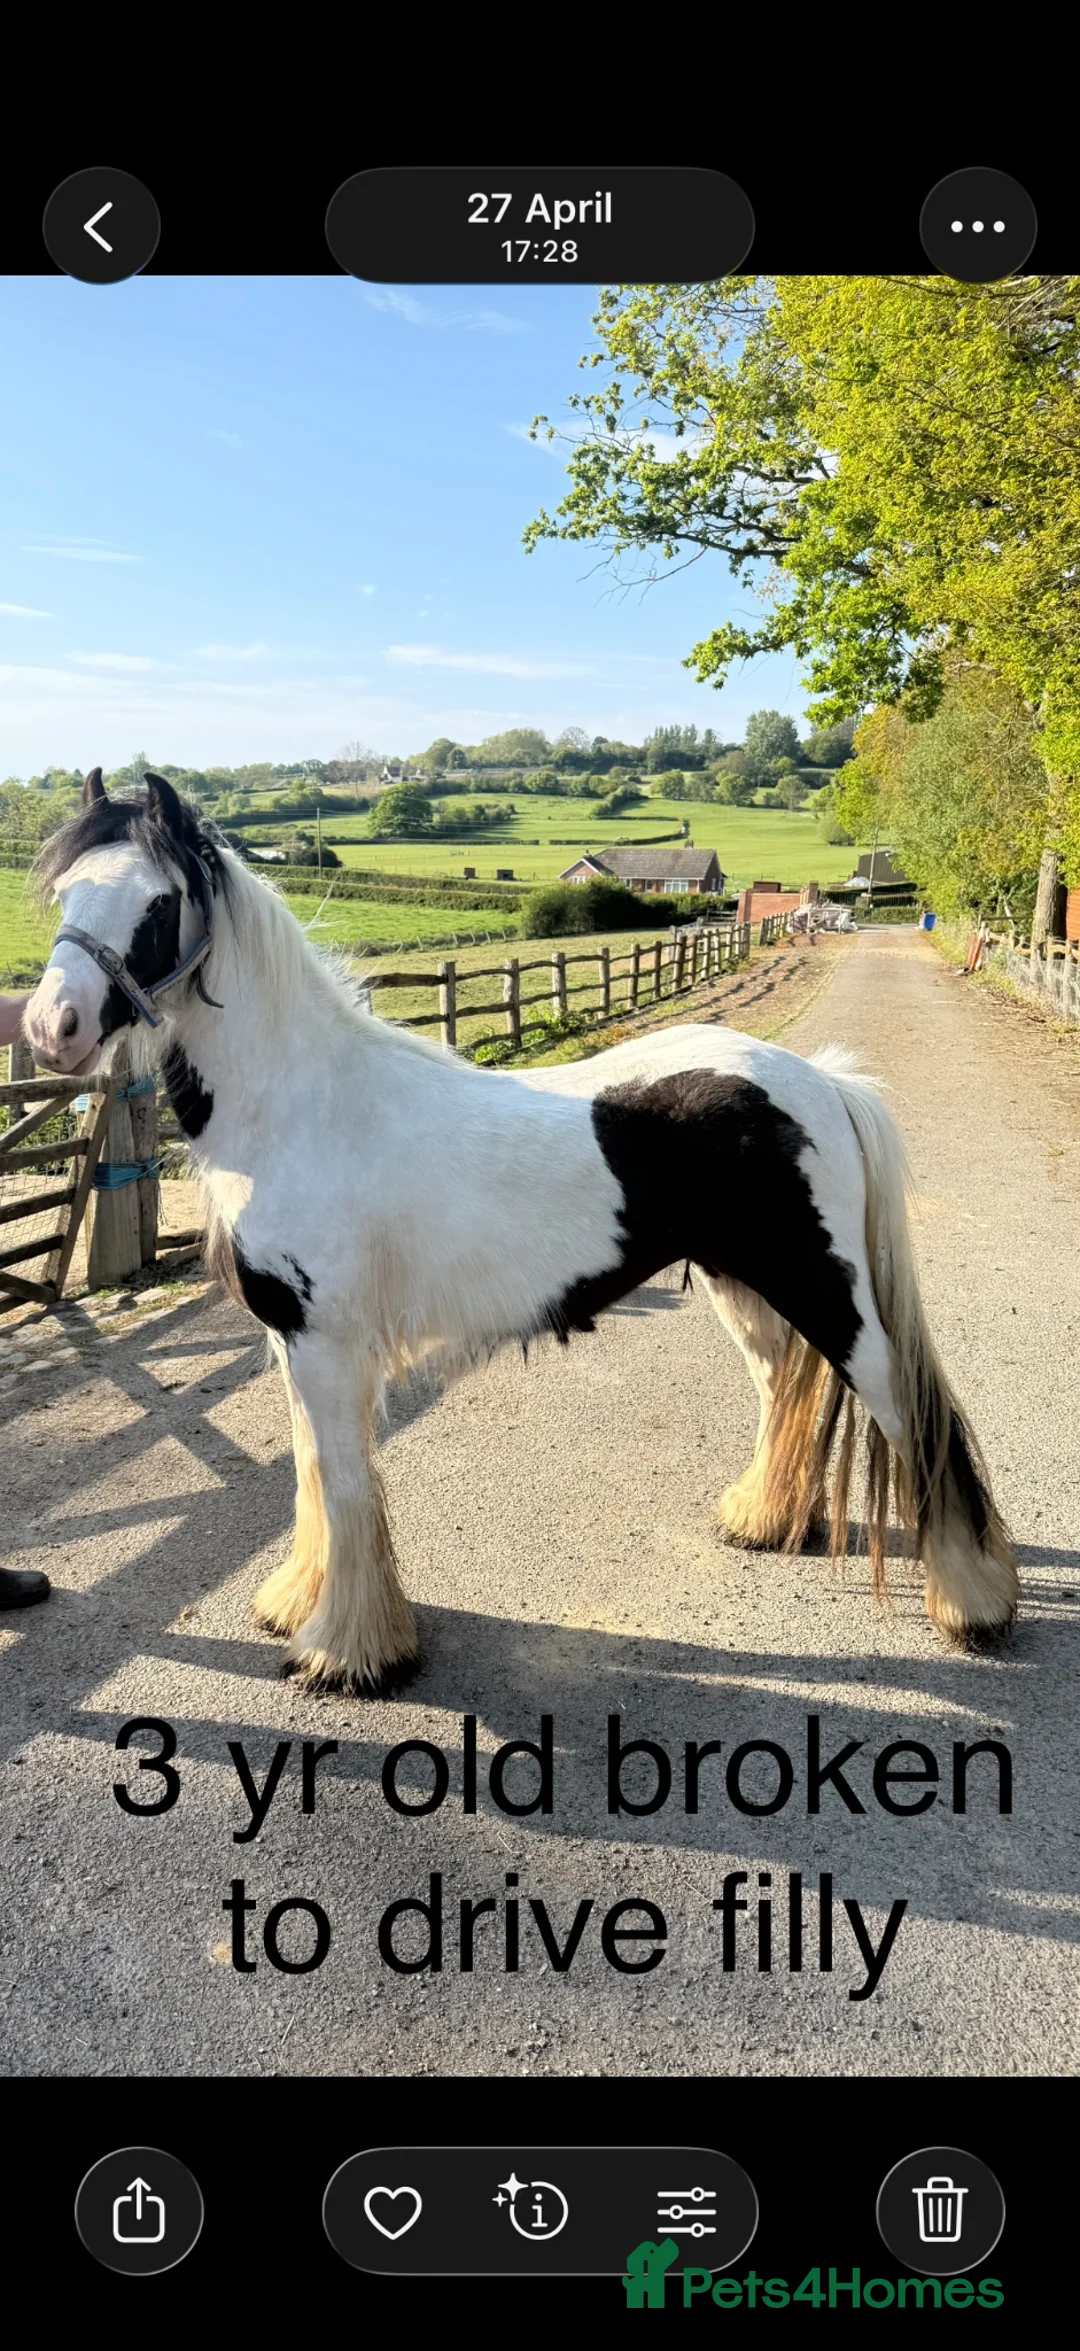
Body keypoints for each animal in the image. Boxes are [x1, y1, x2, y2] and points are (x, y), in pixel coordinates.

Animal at [23, 770, 1019, 1693]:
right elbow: (311, 1475)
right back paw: (765, 1520)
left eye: (157, 902)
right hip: (745, 1285)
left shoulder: (327, 1344)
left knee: (912, 1412)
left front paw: (349, 1653)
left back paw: (973, 1604)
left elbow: (342, 1486)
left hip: (829, 1294)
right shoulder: (294, 1344)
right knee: (785, 1386)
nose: (50, 1027)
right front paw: (298, 1604)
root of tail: (820, 1080)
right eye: (68, 893)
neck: (303, 1105)